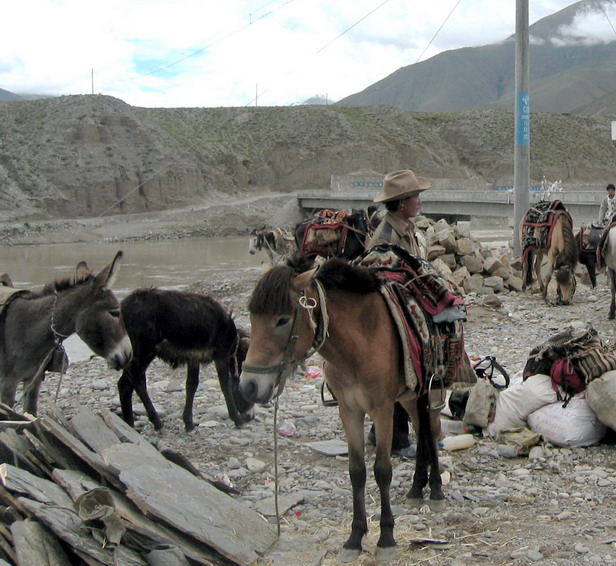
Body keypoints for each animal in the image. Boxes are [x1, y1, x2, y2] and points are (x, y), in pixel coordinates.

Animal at [0, 253, 132, 418]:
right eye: (115, 313)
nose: (129, 354)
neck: (27, 329)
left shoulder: (33, 380)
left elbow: (30, 414)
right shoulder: (8, 383)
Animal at [118, 290, 253, 432]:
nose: (250, 417)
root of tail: (124, 308)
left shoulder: (194, 357)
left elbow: (191, 385)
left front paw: (189, 423)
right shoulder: (221, 355)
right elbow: (225, 385)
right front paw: (237, 420)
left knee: (125, 383)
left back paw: (129, 423)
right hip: (144, 351)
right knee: (137, 381)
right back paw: (156, 422)